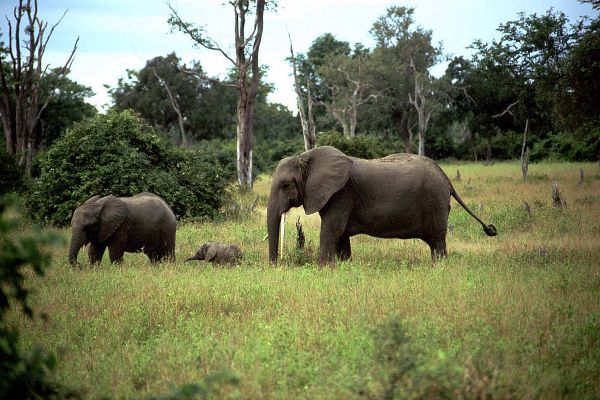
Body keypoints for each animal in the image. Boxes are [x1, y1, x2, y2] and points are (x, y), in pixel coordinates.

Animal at [268, 145, 496, 264]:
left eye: (286, 185)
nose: (276, 265)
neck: (305, 157)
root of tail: (447, 178)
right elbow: (341, 236)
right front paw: (342, 267)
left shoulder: (341, 195)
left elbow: (331, 231)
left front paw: (323, 268)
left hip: (435, 203)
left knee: (438, 242)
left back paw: (439, 267)